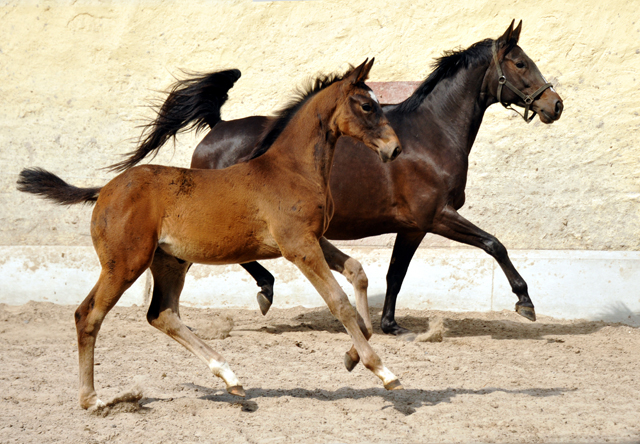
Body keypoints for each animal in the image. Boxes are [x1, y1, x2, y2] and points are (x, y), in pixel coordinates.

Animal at [17, 59, 402, 410]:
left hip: (169, 262)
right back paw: (93, 399)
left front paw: (353, 355)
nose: (394, 149)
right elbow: (339, 302)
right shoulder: (299, 247)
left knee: (162, 314)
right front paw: (382, 371)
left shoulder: (312, 238)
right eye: (367, 105)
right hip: (125, 263)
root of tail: (104, 191)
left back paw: (231, 379)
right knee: (89, 315)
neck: (292, 169)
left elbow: (357, 271)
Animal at [111, 20, 564, 334]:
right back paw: (263, 292)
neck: (432, 133)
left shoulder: (413, 226)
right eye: (521, 63)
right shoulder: (436, 216)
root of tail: (216, 130)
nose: (555, 105)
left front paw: (390, 325)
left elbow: (396, 274)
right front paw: (525, 302)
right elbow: (494, 244)